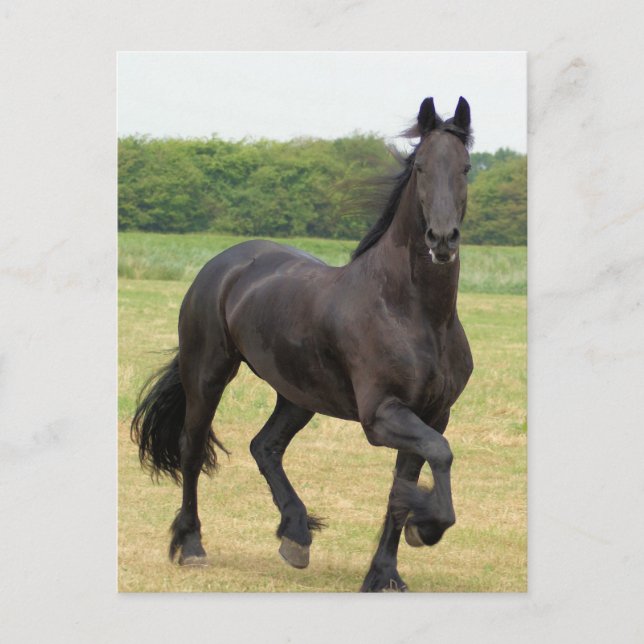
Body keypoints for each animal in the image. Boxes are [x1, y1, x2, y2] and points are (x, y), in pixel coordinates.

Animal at [131, 96, 474, 592]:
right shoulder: (381, 416)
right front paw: (425, 528)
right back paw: (192, 545)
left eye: (466, 167)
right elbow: (439, 455)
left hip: (297, 395)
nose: (442, 239)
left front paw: (385, 573)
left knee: (265, 446)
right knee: (192, 449)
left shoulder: (433, 413)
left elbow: (403, 486)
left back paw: (295, 535)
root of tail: (223, 264)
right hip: (208, 374)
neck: (415, 314)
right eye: (421, 167)